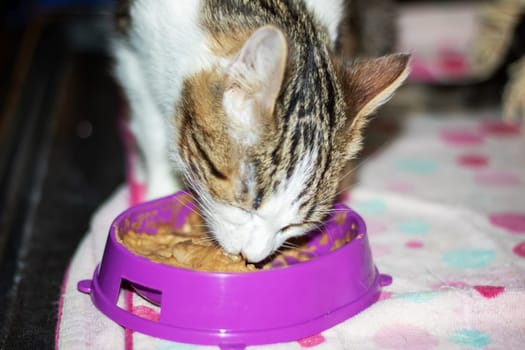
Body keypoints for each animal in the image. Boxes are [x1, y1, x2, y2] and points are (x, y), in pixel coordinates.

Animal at [110, 0, 408, 262]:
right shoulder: (133, 49)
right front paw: (159, 190)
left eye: (294, 225)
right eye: (246, 206)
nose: (252, 256)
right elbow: (152, 127)